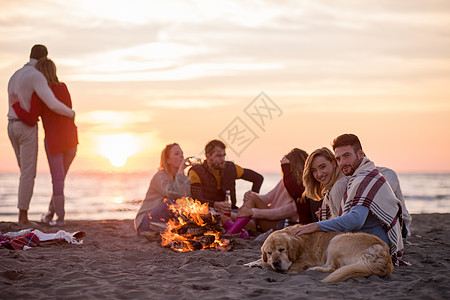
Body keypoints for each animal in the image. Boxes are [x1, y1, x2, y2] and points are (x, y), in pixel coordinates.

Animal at [250, 227, 394, 284]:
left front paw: (261, 264)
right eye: (269, 252)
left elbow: (270, 265)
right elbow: (262, 260)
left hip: (337, 240)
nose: (276, 262)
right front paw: (253, 262)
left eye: (282, 249)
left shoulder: (298, 264)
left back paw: (313, 269)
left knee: (334, 268)